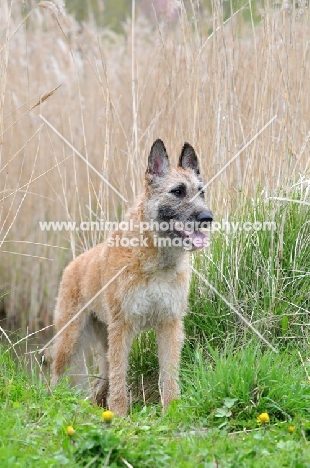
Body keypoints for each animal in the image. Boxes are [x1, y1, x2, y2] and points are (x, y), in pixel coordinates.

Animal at [50, 138, 213, 414]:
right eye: (178, 191)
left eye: (201, 192)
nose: (207, 218)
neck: (156, 261)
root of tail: (74, 264)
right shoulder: (122, 327)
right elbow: (120, 378)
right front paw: (119, 414)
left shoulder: (169, 326)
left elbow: (169, 375)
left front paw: (171, 410)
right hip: (69, 340)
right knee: (56, 377)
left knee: (101, 381)